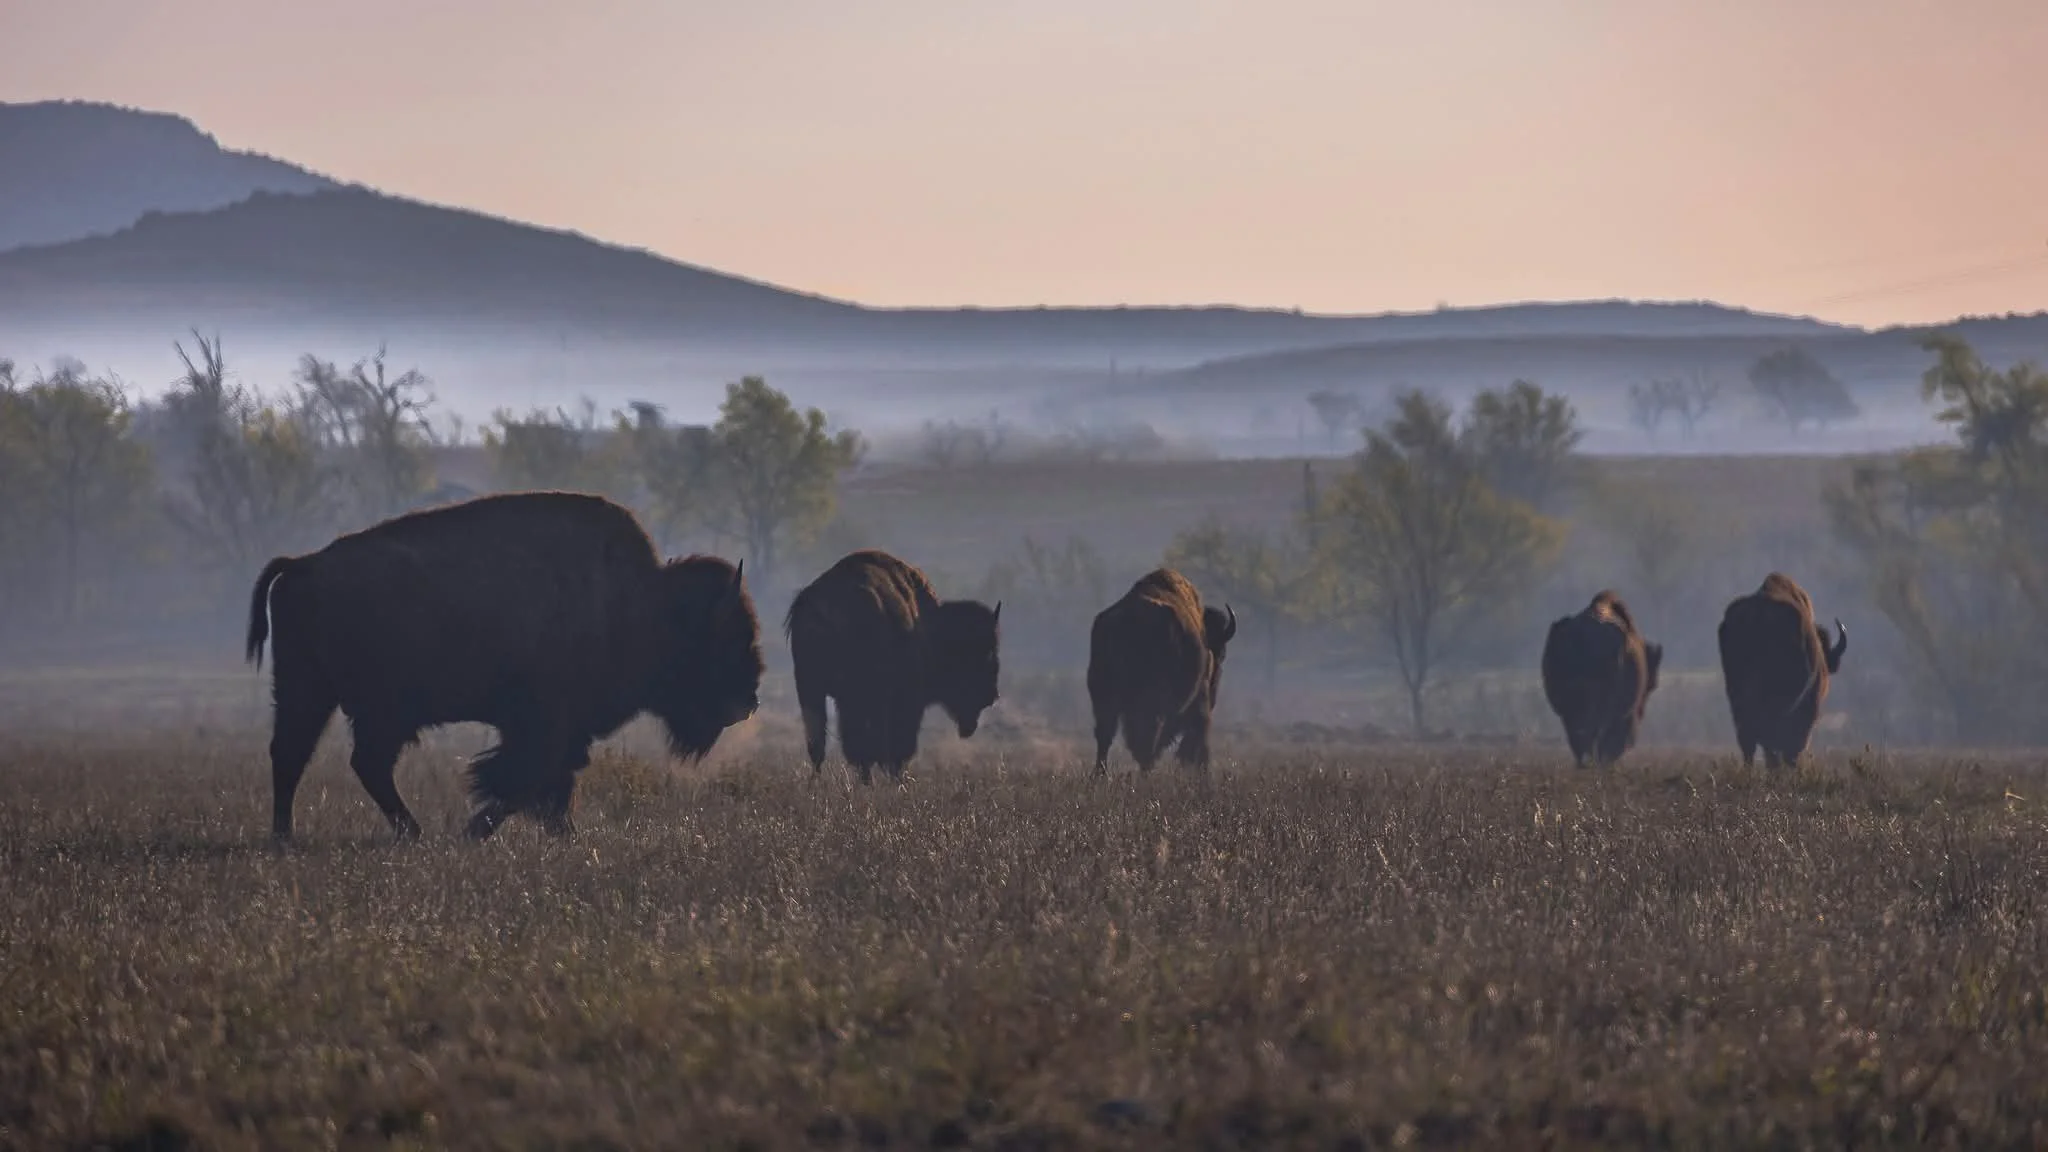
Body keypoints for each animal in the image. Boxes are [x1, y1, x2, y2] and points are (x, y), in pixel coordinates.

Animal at [245, 491, 763, 843]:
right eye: (725, 639)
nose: (749, 701)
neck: (642, 605)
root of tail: (305, 564)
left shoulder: (563, 730)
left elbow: (552, 781)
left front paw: (560, 834)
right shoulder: (543, 724)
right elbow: (521, 778)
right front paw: (477, 830)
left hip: (314, 694)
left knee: (303, 755)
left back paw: (301, 835)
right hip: (352, 703)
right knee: (336, 759)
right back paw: (393, 833)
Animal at [1087, 569, 1237, 774]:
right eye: (1221, 654)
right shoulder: (1200, 701)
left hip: (1104, 696)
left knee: (1106, 736)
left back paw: (1101, 775)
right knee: (1147, 739)